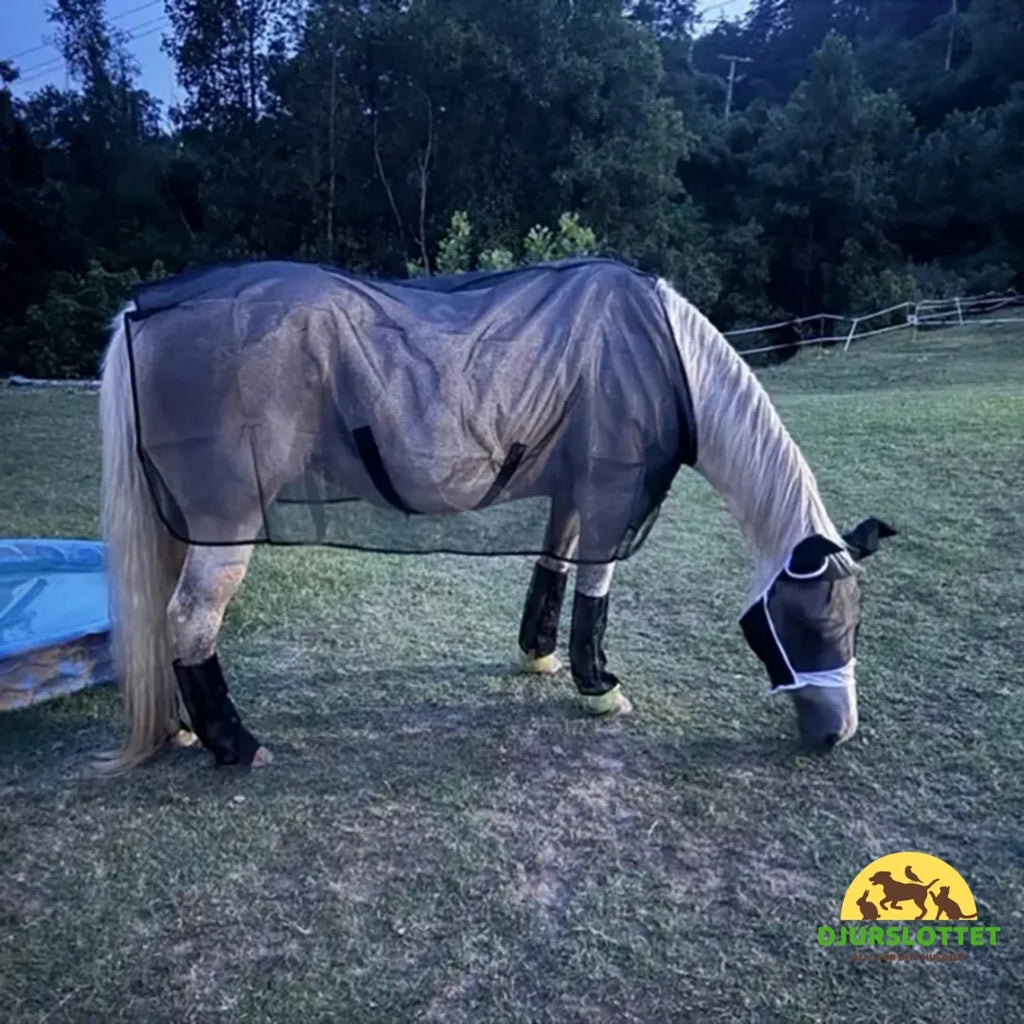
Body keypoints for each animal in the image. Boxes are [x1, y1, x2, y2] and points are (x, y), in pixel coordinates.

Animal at [96, 257, 895, 770]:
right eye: (818, 623)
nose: (837, 734)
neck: (666, 356)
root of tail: (145, 310)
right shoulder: (611, 495)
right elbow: (596, 589)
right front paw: (599, 688)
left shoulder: (571, 492)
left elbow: (553, 568)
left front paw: (539, 656)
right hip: (225, 523)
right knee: (190, 618)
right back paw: (236, 745)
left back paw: (185, 731)